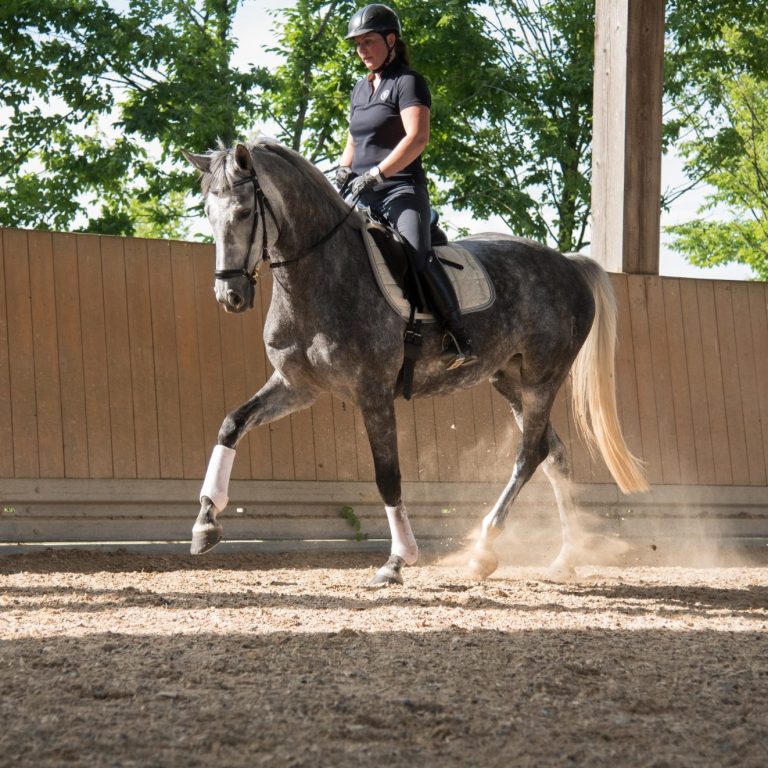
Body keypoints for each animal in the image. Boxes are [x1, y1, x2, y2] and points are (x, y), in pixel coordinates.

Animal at [182, 138, 647, 586]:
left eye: (244, 211)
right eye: (207, 213)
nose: (231, 296)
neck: (319, 276)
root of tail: (567, 262)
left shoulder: (372, 392)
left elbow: (388, 477)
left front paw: (397, 560)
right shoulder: (298, 385)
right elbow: (232, 424)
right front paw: (206, 522)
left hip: (542, 376)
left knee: (530, 454)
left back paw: (484, 547)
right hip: (509, 379)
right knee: (555, 456)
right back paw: (565, 559)